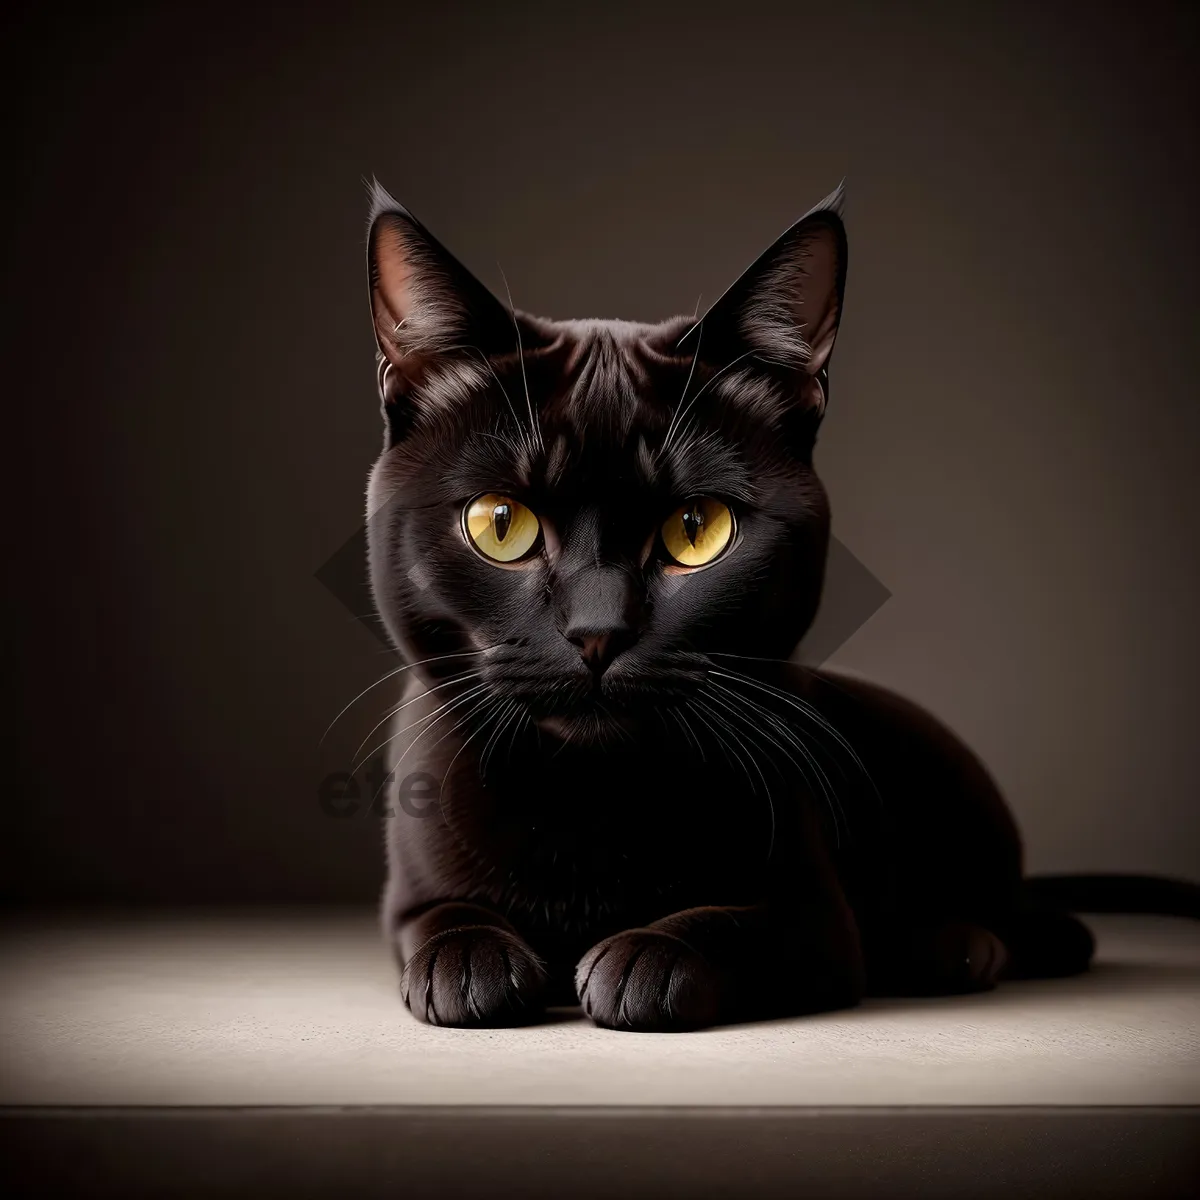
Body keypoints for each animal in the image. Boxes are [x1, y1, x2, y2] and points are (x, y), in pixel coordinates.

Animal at [360, 180, 1195, 1032]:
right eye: (501, 524)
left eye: (697, 529)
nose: (596, 632)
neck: (590, 798)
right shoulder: (408, 897)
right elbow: (441, 916)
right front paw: (471, 962)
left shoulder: (816, 914)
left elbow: (736, 923)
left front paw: (646, 960)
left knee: (1038, 925)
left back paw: (954, 947)